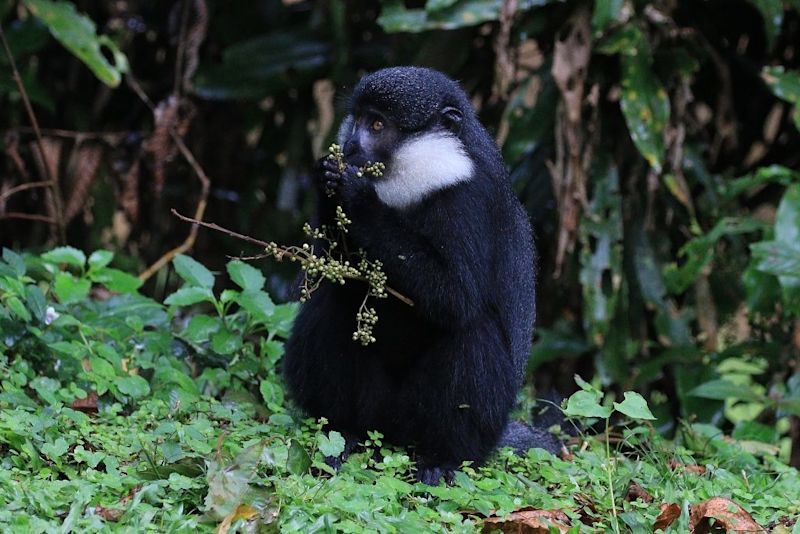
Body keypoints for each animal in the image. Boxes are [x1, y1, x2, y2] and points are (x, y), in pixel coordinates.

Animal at [284, 67, 560, 486]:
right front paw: (328, 182)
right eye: (357, 118)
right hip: (377, 409)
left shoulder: (466, 199)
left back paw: (442, 460)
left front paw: (355, 193)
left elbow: (456, 297)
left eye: (377, 124)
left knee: (471, 330)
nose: (349, 146)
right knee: (335, 303)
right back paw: (344, 435)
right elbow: (332, 275)